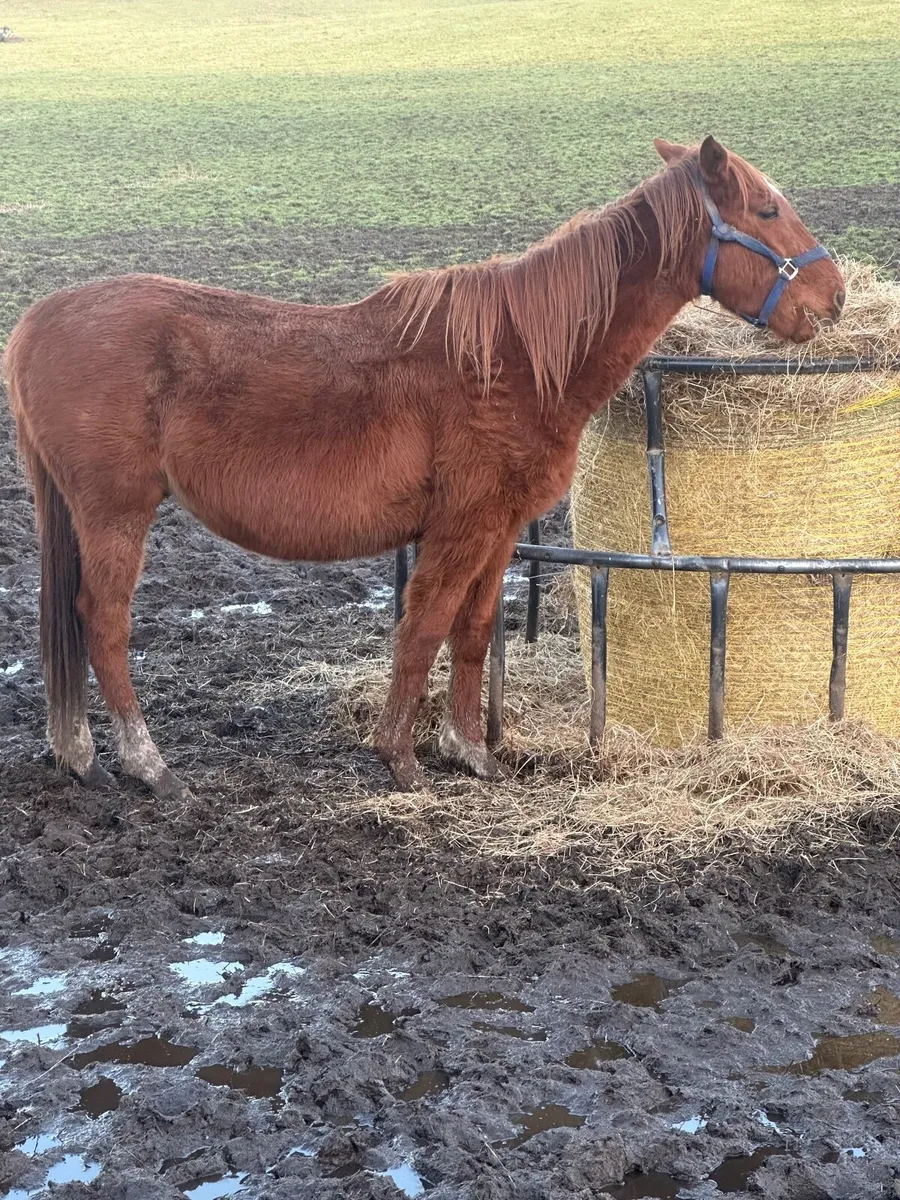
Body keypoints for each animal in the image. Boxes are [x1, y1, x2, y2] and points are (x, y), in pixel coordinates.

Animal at [4, 136, 845, 799]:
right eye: (766, 211)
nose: (833, 295)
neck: (515, 356)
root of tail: (39, 318)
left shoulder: (499, 531)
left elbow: (472, 631)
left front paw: (468, 750)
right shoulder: (461, 526)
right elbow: (425, 626)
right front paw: (400, 757)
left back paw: (79, 752)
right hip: (117, 512)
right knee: (102, 622)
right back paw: (146, 763)